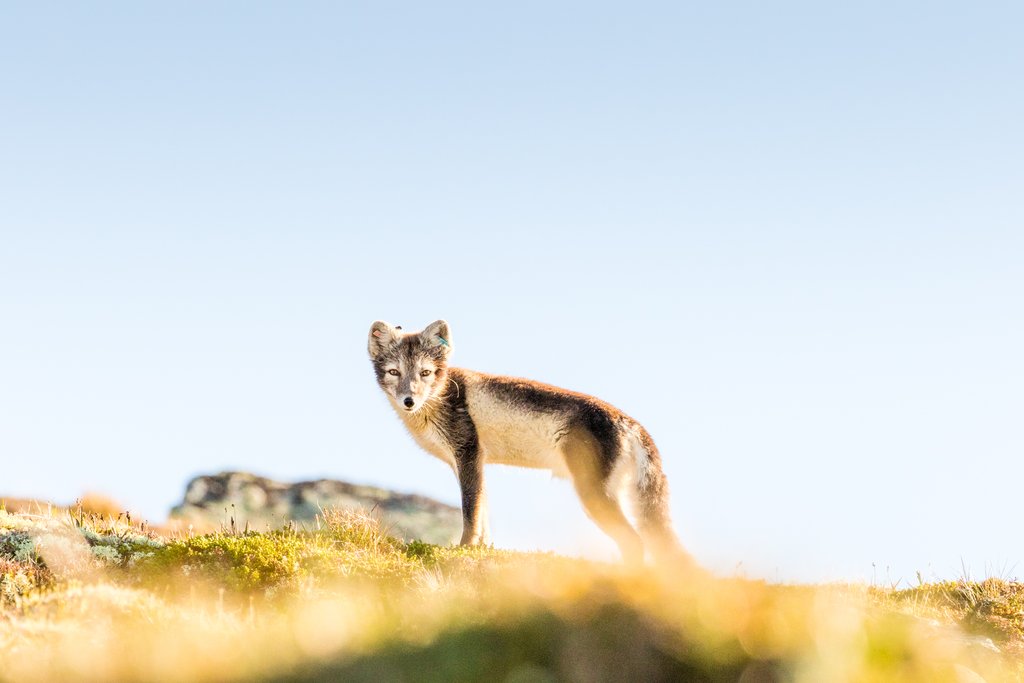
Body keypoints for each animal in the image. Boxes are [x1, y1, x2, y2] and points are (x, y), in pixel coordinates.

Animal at [368, 321, 688, 565]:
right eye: (394, 372)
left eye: (425, 373)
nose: (409, 401)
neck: (441, 396)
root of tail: (631, 422)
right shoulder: (468, 463)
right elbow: (482, 513)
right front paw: (480, 548)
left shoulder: (467, 453)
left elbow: (470, 513)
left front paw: (464, 548)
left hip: (593, 495)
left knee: (635, 542)